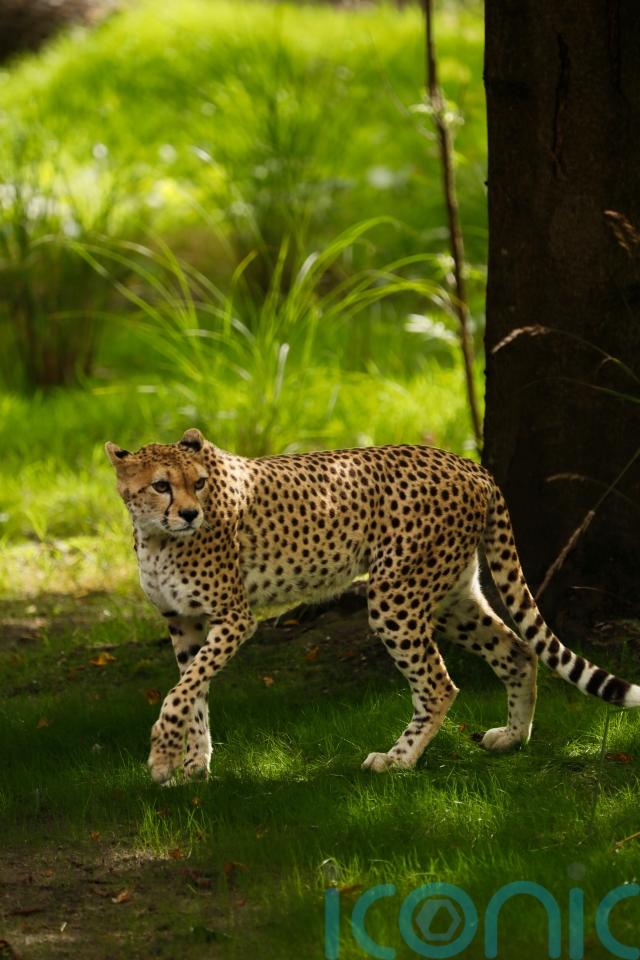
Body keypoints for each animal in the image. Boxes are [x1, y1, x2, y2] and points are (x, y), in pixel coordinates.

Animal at [105, 428, 640, 784]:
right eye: (161, 485)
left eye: (197, 483)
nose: (190, 513)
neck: (156, 535)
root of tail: (466, 462)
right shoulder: (185, 623)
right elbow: (193, 691)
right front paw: (193, 763)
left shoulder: (234, 618)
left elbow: (181, 691)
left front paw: (161, 756)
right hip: (450, 596)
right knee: (516, 651)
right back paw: (513, 737)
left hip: (393, 596)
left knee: (439, 684)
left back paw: (398, 760)